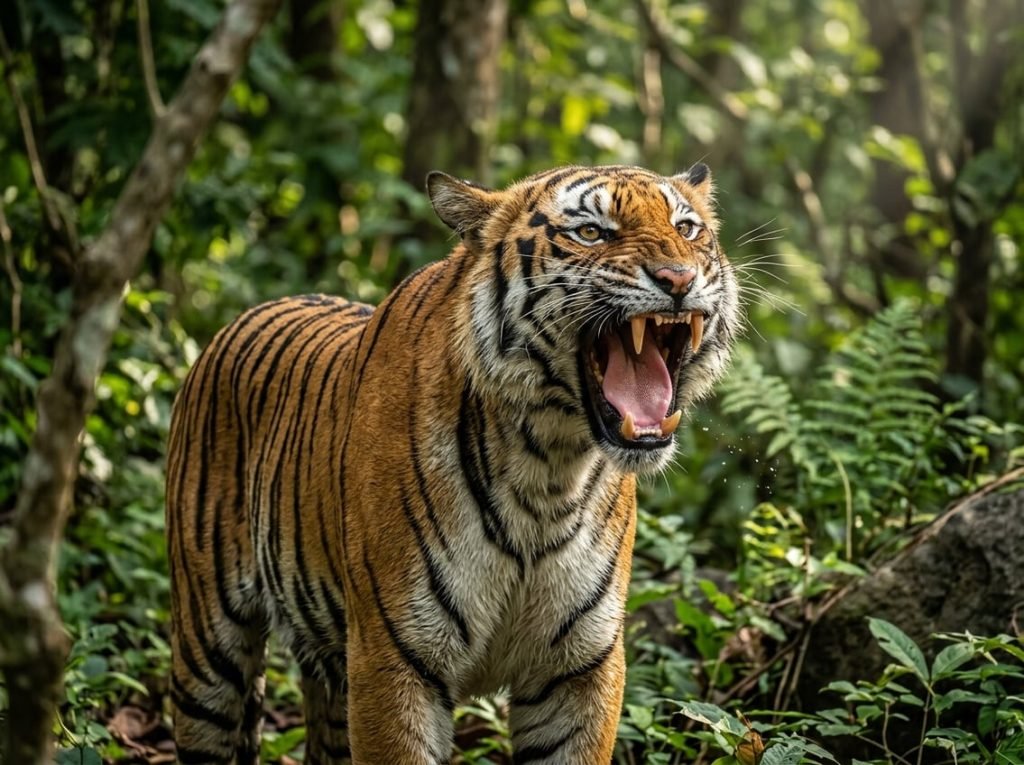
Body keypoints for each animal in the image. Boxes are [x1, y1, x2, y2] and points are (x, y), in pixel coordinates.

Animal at [165, 162, 739, 765]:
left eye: (687, 229)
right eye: (591, 233)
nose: (678, 278)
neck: (549, 468)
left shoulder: (579, 667)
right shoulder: (392, 659)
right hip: (208, 650)